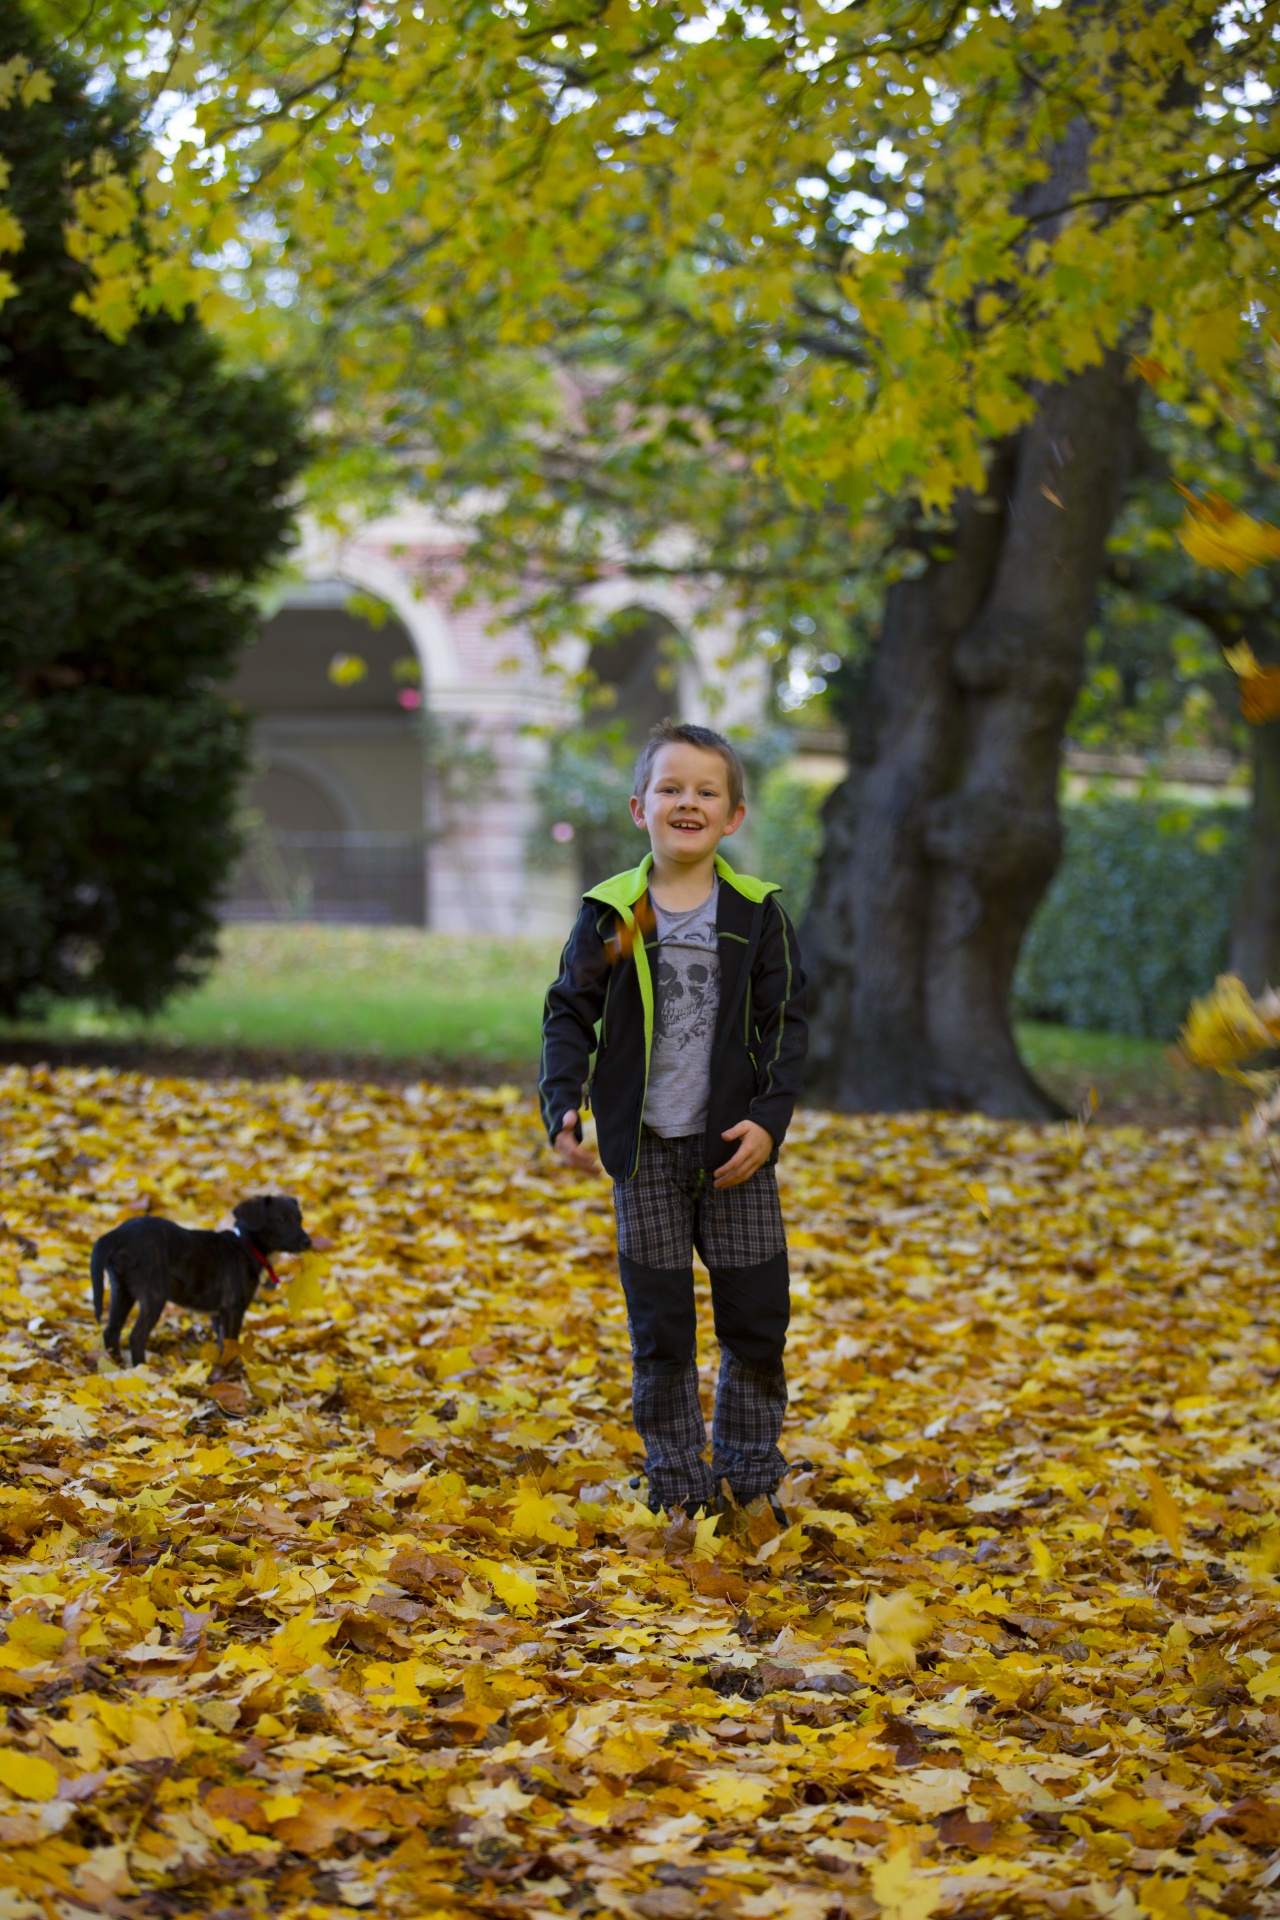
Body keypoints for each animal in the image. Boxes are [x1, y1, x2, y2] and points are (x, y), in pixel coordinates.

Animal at [88, 1198, 312, 1367]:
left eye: (300, 1219)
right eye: (281, 1220)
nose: (308, 1242)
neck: (246, 1245)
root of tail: (117, 1234)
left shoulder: (218, 1313)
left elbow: (222, 1342)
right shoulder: (234, 1308)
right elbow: (231, 1342)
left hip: (121, 1289)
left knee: (111, 1331)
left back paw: (116, 1364)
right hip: (154, 1292)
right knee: (136, 1336)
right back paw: (142, 1369)